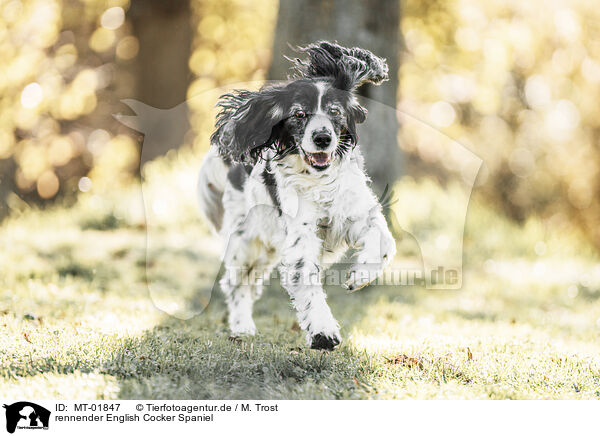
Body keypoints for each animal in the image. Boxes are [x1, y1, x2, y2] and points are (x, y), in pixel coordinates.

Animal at [198, 41, 398, 350]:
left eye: (335, 111)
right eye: (299, 114)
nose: (322, 138)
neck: (320, 182)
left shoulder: (357, 213)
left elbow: (384, 242)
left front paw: (360, 275)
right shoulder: (301, 236)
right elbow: (306, 279)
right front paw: (323, 332)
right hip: (247, 242)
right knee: (237, 284)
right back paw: (242, 327)